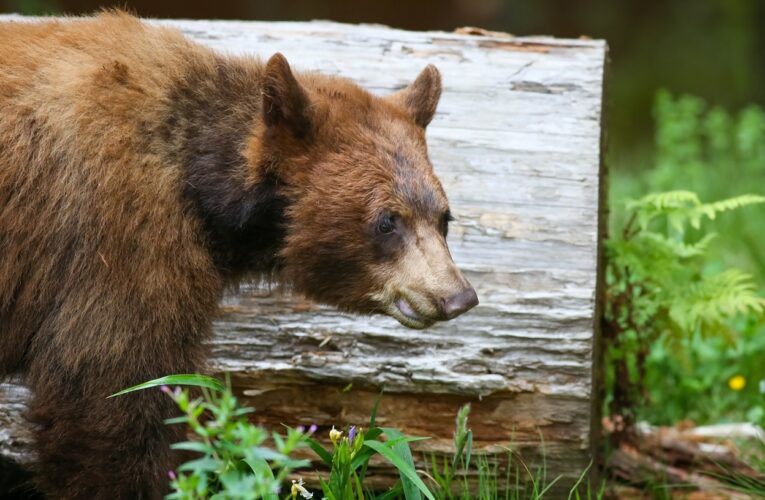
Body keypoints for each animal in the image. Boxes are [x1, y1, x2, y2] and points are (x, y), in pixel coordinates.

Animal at [0, 11, 478, 500]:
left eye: (443, 217)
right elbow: (111, 391)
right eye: (387, 221)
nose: (458, 297)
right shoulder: (118, 233)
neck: (197, 168)